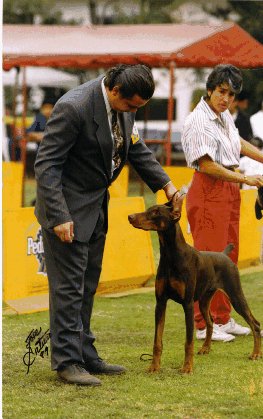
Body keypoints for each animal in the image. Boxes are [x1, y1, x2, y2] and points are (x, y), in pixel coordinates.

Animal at [128, 194, 262, 374]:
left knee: (255, 323)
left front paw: (187, 367)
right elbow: (157, 340)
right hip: (205, 300)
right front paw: (154, 366)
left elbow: (188, 341)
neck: (171, 255)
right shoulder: (160, 302)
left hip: (235, 294)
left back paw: (255, 353)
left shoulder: (188, 304)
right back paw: (206, 348)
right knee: (210, 322)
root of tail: (224, 254)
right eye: (149, 209)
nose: (130, 217)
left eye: (156, 212)